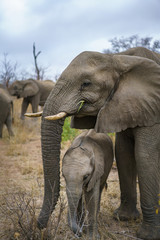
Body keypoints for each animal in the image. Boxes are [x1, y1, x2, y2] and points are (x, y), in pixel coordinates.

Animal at [33, 46, 160, 239]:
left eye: (86, 83)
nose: (39, 225)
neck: (118, 58)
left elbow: (145, 156)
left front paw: (147, 235)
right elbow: (123, 152)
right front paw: (124, 218)